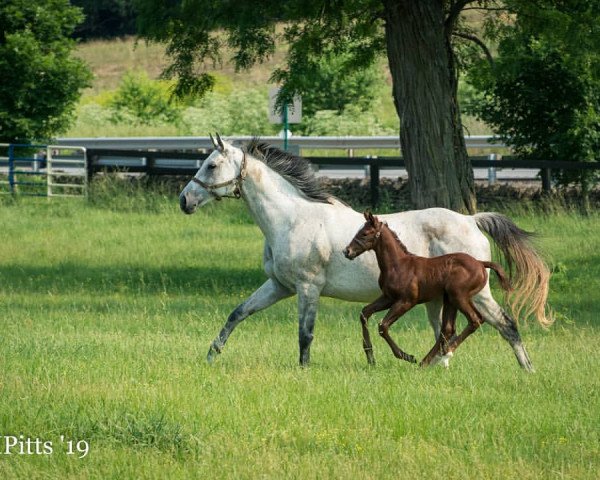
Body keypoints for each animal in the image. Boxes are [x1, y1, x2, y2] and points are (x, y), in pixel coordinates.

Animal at [342, 212, 510, 366]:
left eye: (364, 233)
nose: (347, 251)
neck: (398, 265)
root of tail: (481, 263)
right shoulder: (388, 297)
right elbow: (364, 313)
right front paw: (370, 357)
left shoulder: (407, 301)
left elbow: (383, 326)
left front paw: (407, 356)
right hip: (449, 299)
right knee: (448, 329)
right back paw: (428, 360)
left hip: (459, 296)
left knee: (475, 320)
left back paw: (440, 355)